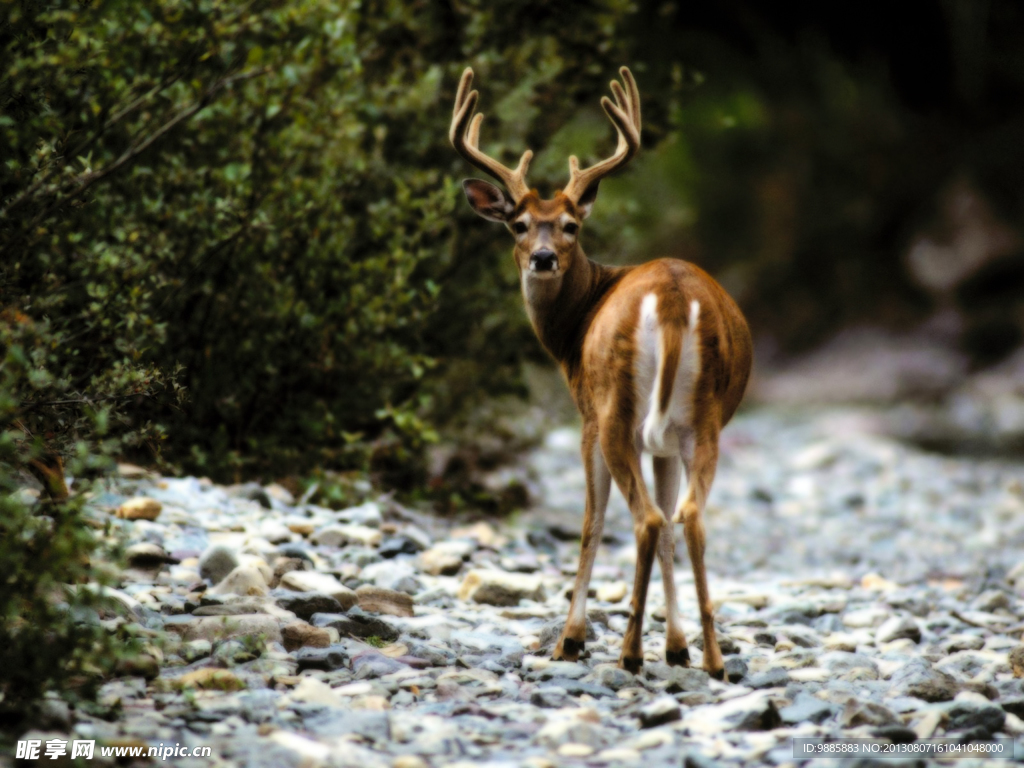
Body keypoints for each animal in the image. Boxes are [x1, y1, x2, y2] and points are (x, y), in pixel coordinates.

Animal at [448, 66, 753, 679]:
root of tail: (671, 299)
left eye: (569, 225)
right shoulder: (663, 441)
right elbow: (667, 522)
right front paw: (677, 646)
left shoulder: (587, 416)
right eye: (519, 225)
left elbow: (590, 524)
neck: (574, 326)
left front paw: (571, 640)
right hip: (700, 418)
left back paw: (627, 652)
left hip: (616, 409)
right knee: (686, 516)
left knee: (647, 520)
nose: (542, 258)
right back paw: (711, 659)